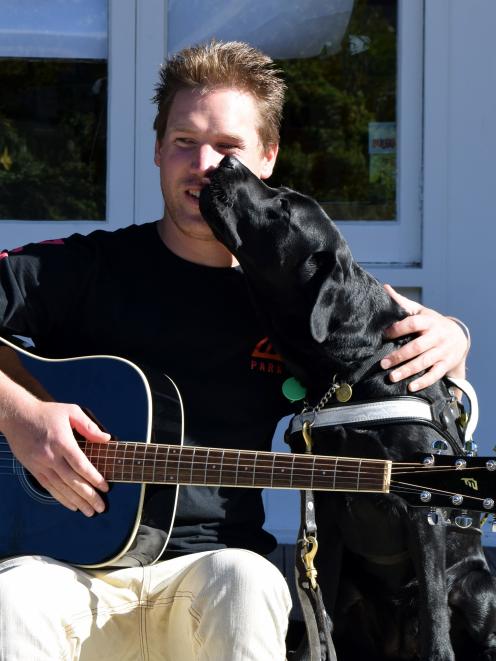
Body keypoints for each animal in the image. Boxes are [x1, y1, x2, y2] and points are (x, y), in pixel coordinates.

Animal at [200, 156, 496, 660]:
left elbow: (435, 617)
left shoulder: (424, 511)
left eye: (283, 208)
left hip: (479, 587)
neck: (351, 373)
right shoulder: (328, 510)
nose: (228, 160)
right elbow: (321, 615)